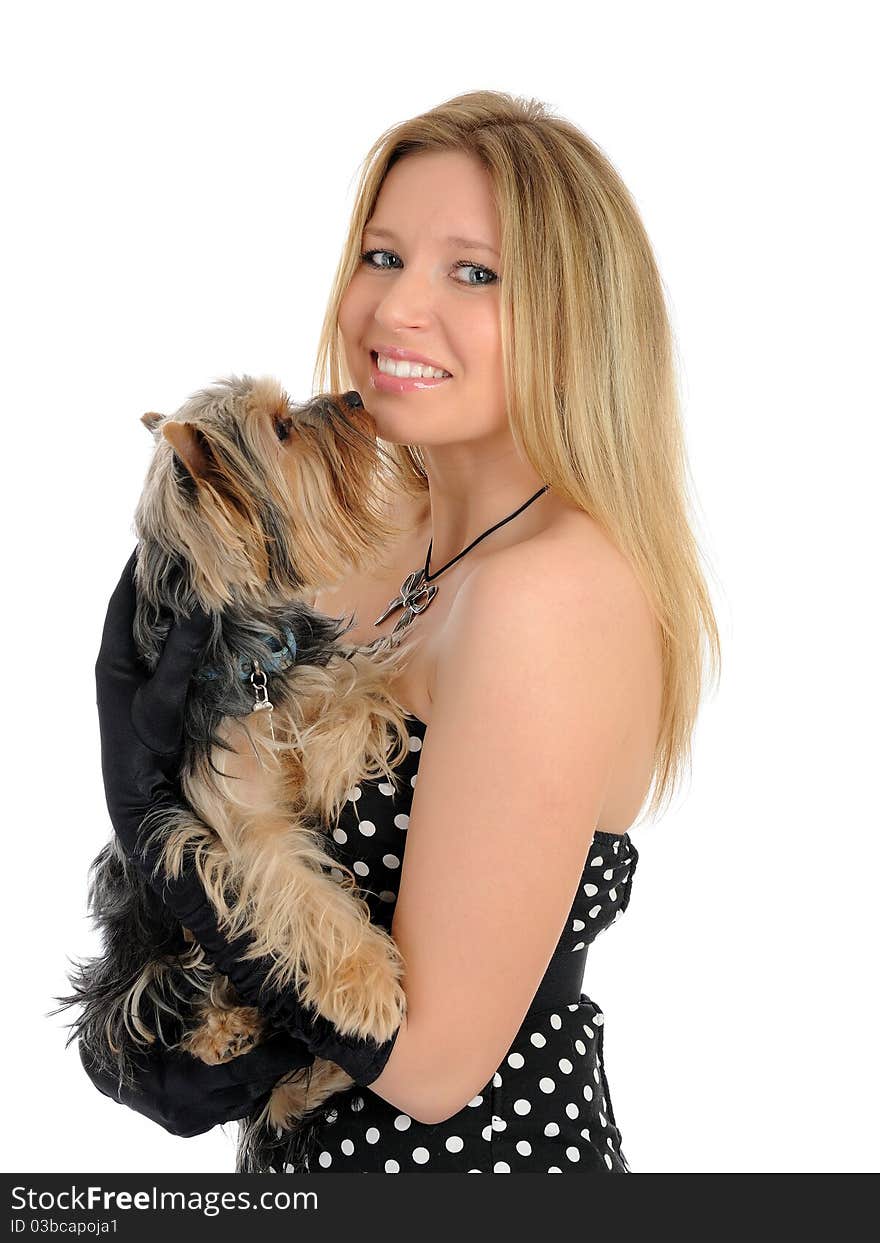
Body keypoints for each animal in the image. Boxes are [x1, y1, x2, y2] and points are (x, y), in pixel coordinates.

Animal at [53, 372, 420, 1158]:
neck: (247, 651)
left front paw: (323, 765)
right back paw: (225, 1035)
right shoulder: (234, 824)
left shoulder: (310, 672)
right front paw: (367, 986)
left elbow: (357, 691)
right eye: (280, 429)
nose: (353, 397)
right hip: (144, 961)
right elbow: (298, 889)